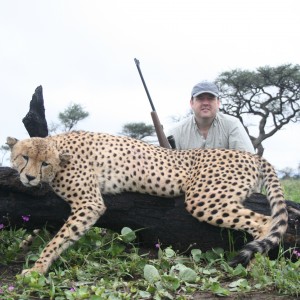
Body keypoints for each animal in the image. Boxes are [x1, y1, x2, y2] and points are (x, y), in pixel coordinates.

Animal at [7, 131, 288, 274]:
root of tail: (252, 155)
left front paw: (37, 269)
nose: (29, 177)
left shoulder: (89, 203)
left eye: (45, 163)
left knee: (265, 222)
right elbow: (44, 228)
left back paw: (252, 265)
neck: (60, 147)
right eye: (24, 157)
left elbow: (59, 239)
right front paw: (24, 243)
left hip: (203, 199)